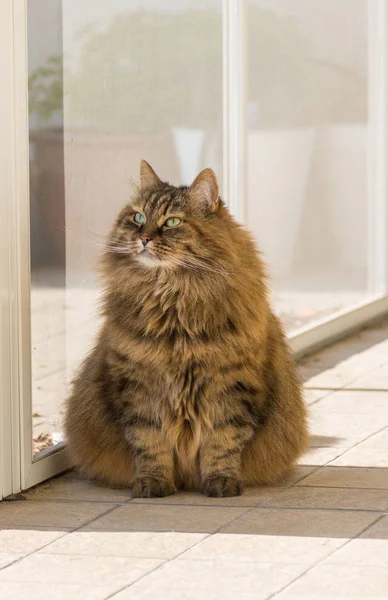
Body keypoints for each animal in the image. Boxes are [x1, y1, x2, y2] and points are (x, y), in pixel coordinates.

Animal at [65, 161, 308, 496]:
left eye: (172, 222)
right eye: (138, 217)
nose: (143, 238)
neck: (172, 304)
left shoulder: (231, 385)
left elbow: (223, 441)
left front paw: (221, 482)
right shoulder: (139, 387)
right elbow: (149, 442)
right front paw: (153, 483)